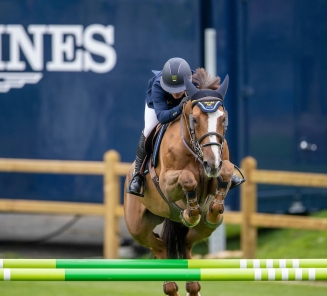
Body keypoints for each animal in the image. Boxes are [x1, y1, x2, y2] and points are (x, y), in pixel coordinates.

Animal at [124, 69, 234, 296]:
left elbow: (226, 172)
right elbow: (187, 178)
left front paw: (213, 209)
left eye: (223, 118)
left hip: (202, 230)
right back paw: (170, 285)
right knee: (160, 246)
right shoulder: (167, 182)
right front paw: (190, 212)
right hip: (138, 227)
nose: (212, 163)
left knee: (185, 244)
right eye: (196, 120)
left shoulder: (217, 169)